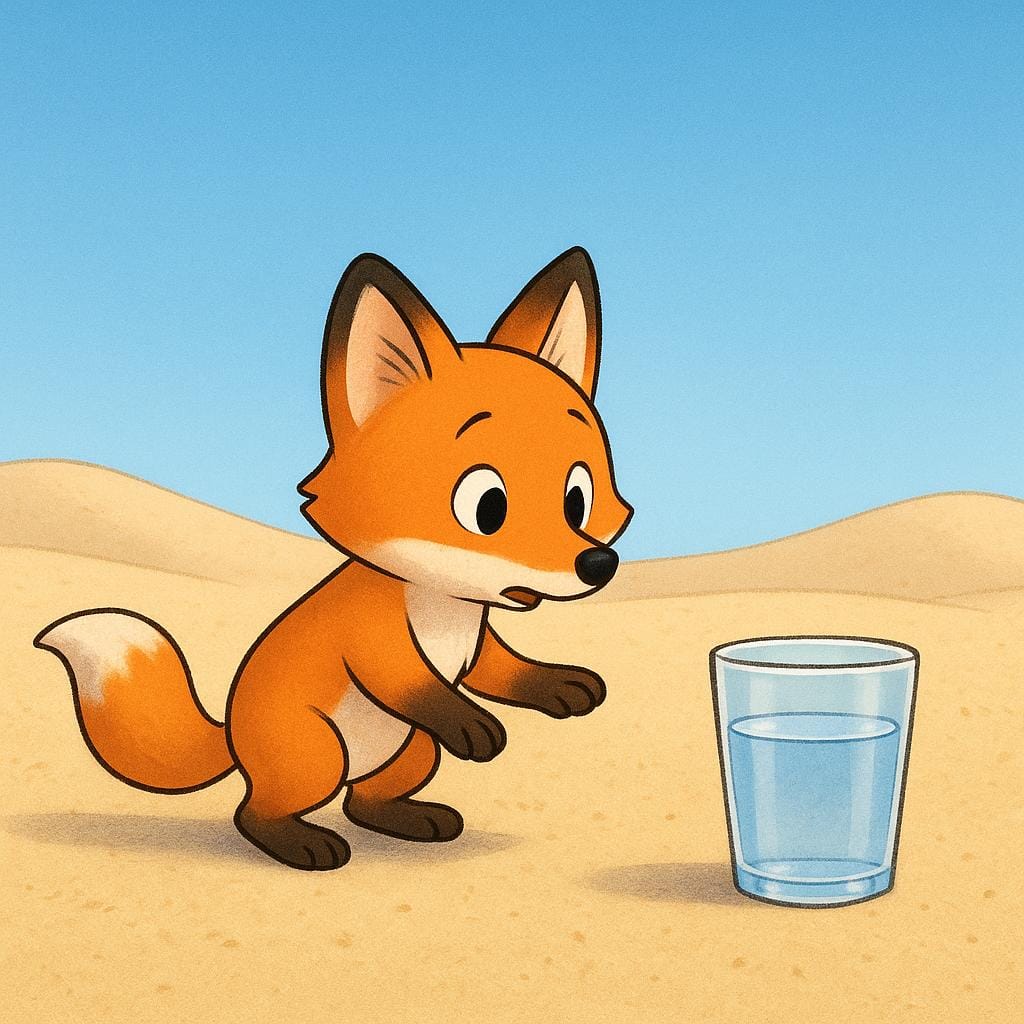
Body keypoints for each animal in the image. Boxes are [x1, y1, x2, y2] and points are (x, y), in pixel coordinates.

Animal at [34, 247, 633, 870]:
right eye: (487, 506)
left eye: (577, 498)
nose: (597, 565)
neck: (444, 606)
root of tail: (231, 735)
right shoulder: (376, 643)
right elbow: (416, 684)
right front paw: (472, 722)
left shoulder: (478, 647)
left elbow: (507, 670)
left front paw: (559, 684)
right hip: (318, 755)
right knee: (256, 812)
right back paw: (304, 844)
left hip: (413, 748)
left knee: (362, 803)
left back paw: (413, 819)